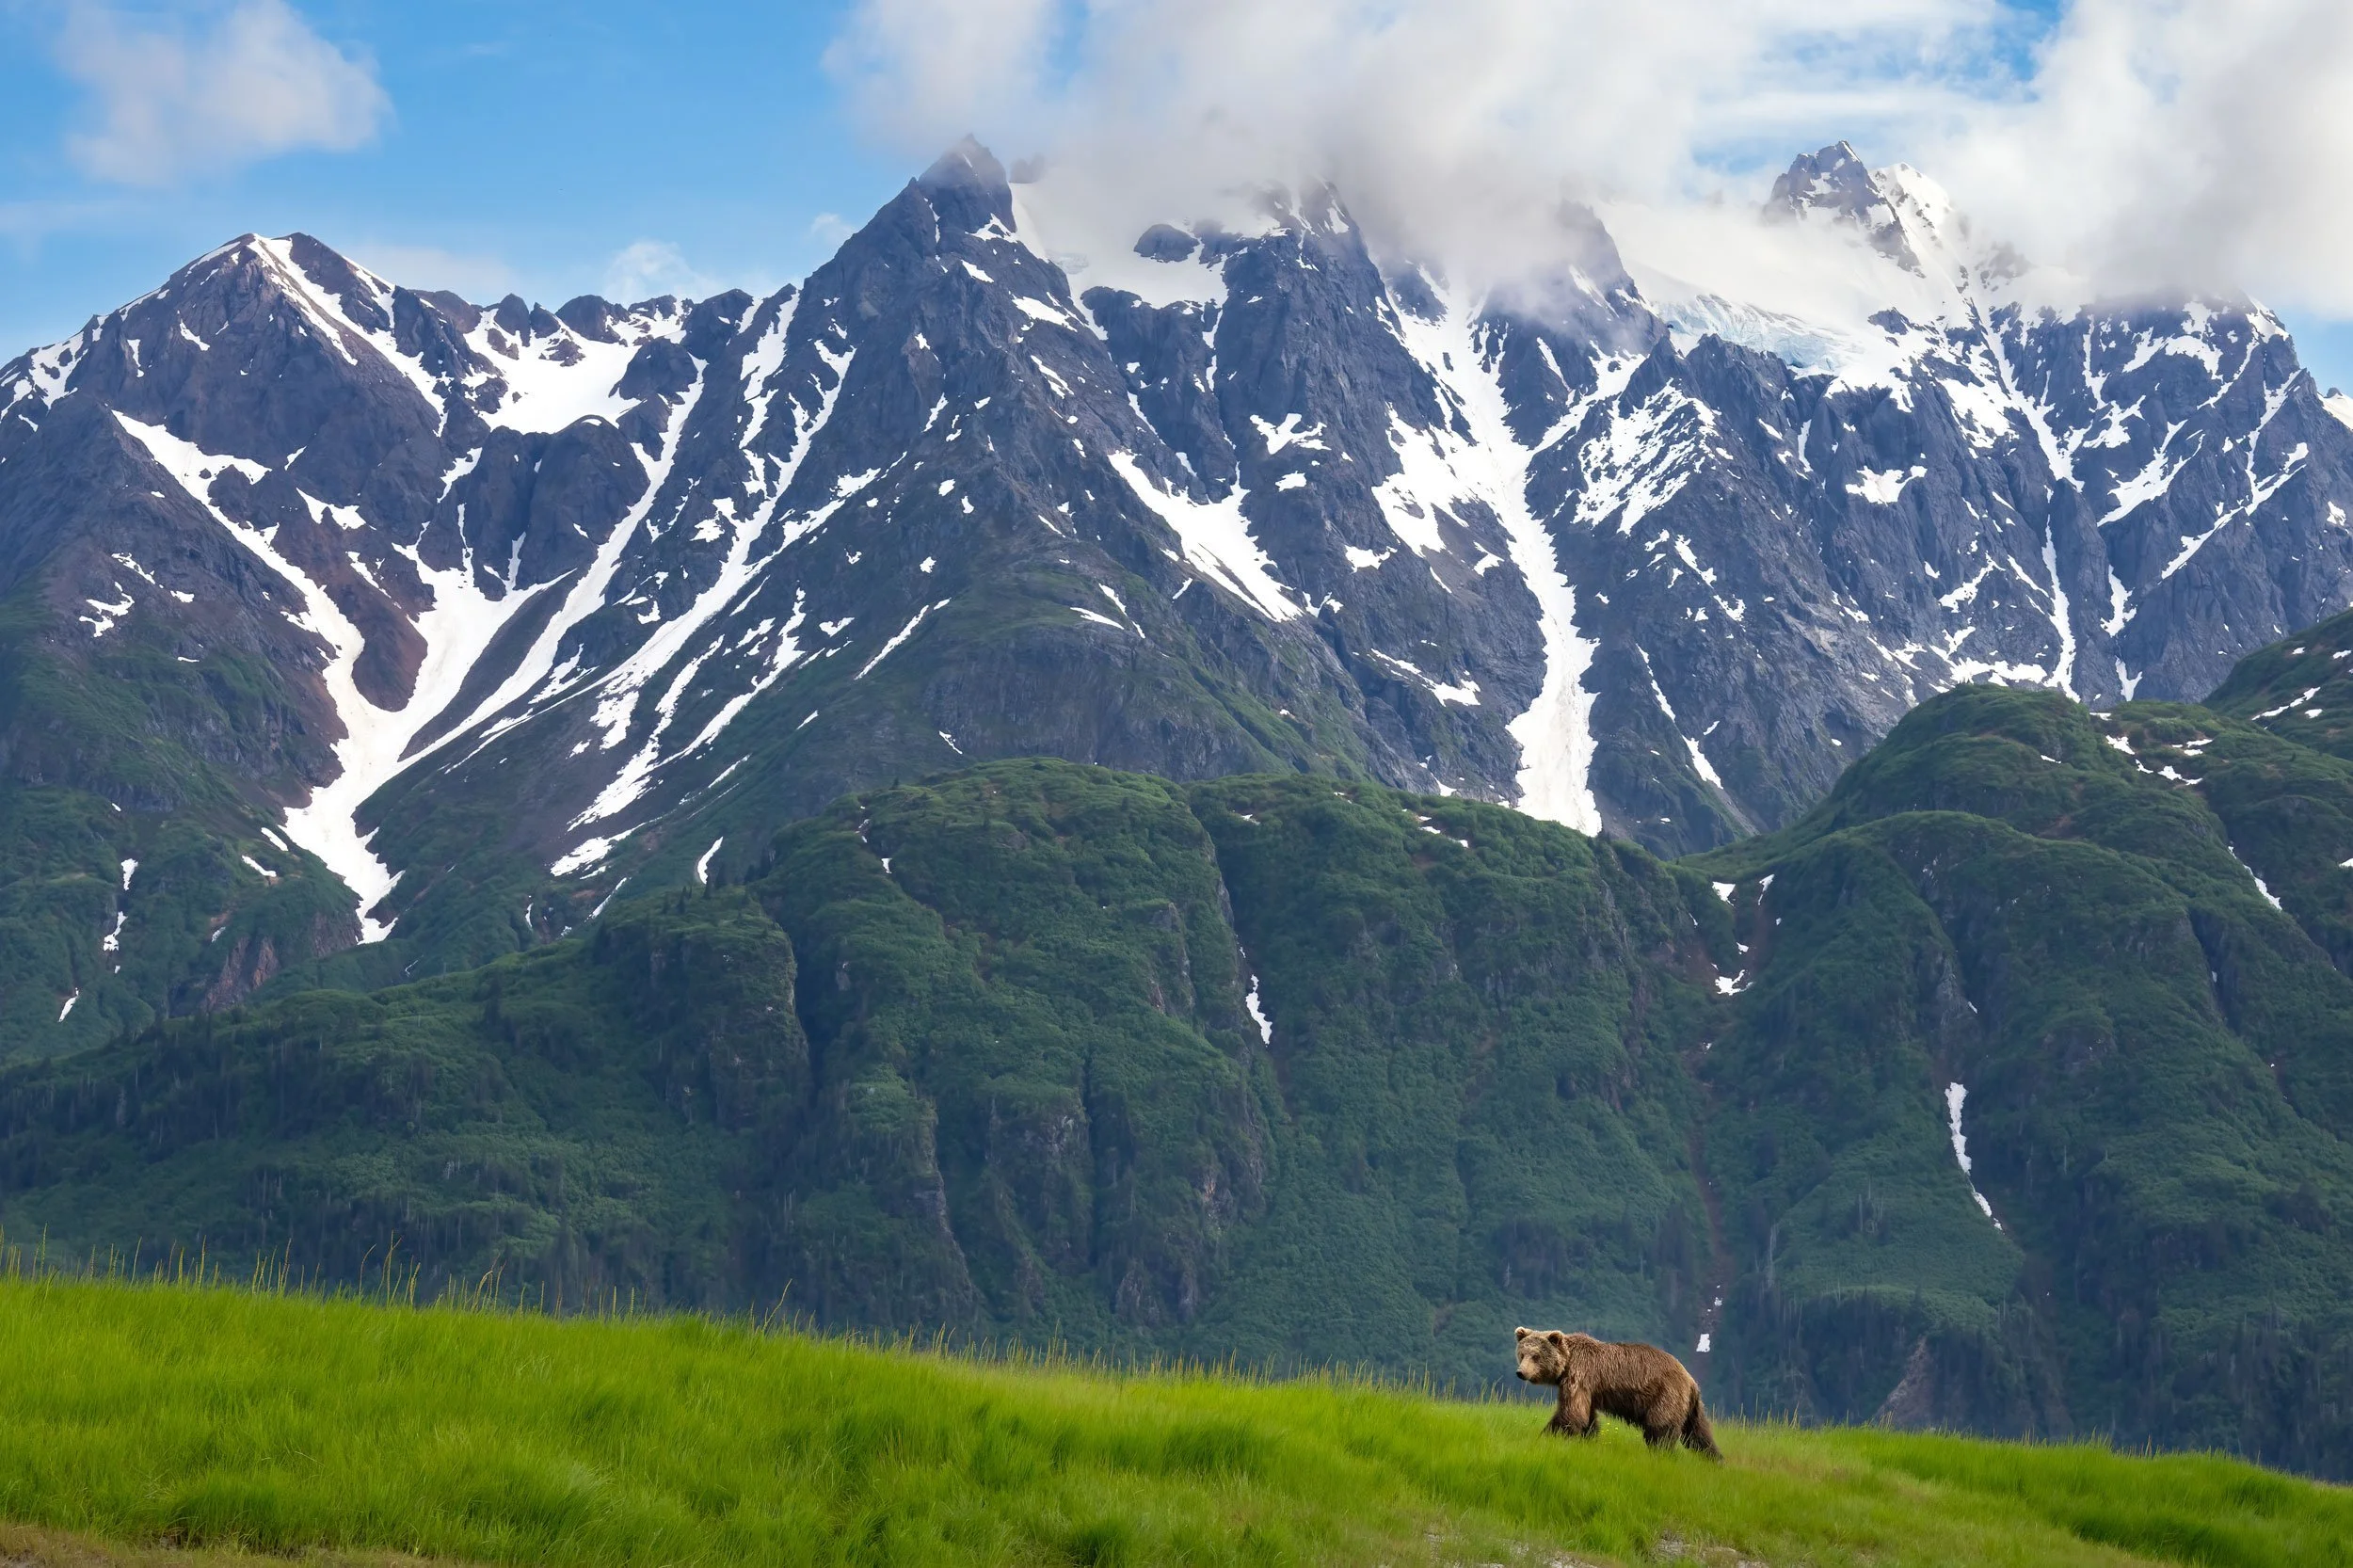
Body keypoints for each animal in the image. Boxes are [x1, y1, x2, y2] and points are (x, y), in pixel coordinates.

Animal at [1514, 1326, 1721, 1459]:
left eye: (1536, 1356)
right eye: (1522, 1354)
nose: (1521, 1372)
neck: (1567, 1363)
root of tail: (1690, 1379)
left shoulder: (1579, 1377)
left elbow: (1571, 1414)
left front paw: (1545, 1437)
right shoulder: (1588, 1389)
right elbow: (1587, 1418)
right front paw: (1588, 1439)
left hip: (1666, 1395)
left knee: (1660, 1430)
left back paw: (1661, 1454)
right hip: (1691, 1406)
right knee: (1698, 1434)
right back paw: (1715, 1460)